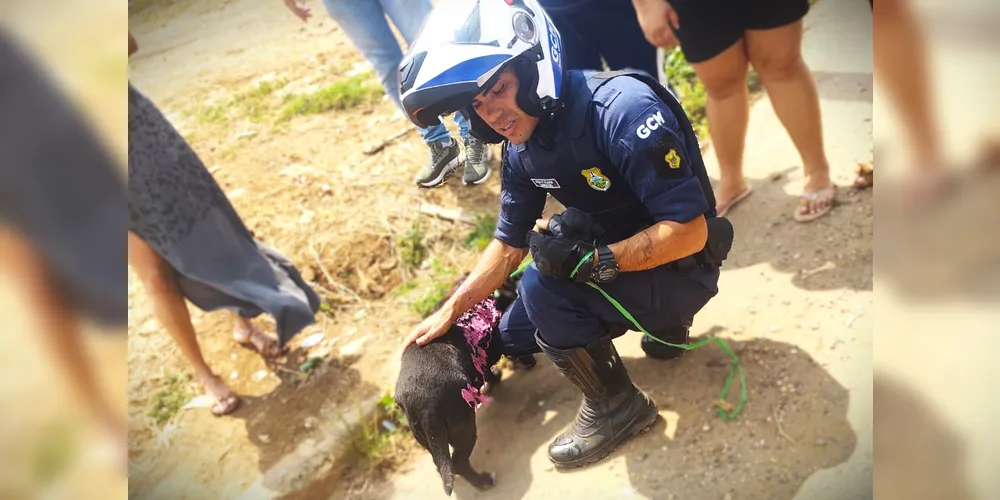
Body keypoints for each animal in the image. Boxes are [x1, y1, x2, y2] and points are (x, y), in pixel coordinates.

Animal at [394, 276, 524, 494]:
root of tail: (425, 405)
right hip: (464, 429)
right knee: (458, 463)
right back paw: (483, 481)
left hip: (425, 436)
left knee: (443, 465)